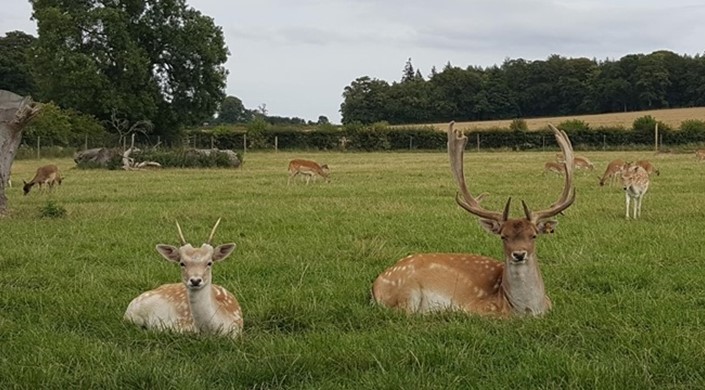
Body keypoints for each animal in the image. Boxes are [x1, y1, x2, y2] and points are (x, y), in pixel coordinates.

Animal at [372, 122, 576, 316]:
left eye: (533, 235)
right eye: (503, 236)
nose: (519, 254)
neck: (527, 309)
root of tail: (376, 285)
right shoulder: (478, 309)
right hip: (406, 291)